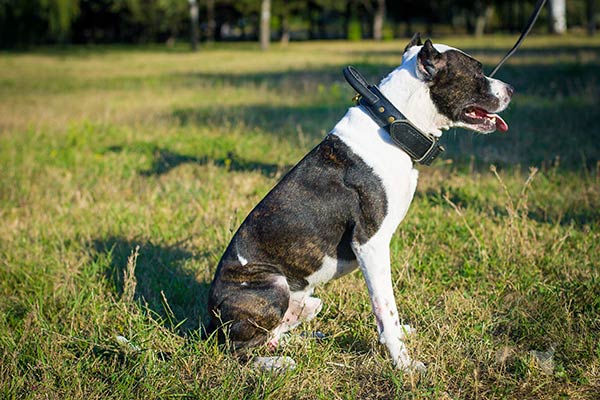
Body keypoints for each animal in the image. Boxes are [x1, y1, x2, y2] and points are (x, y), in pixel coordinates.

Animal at [206, 34, 510, 372]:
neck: (394, 123)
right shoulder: (370, 243)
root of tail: (209, 322)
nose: (510, 89)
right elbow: (385, 308)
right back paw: (275, 363)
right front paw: (403, 363)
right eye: (477, 71)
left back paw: (302, 342)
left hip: (309, 302)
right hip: (274, 286)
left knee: (273, 333)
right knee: (238, 350)